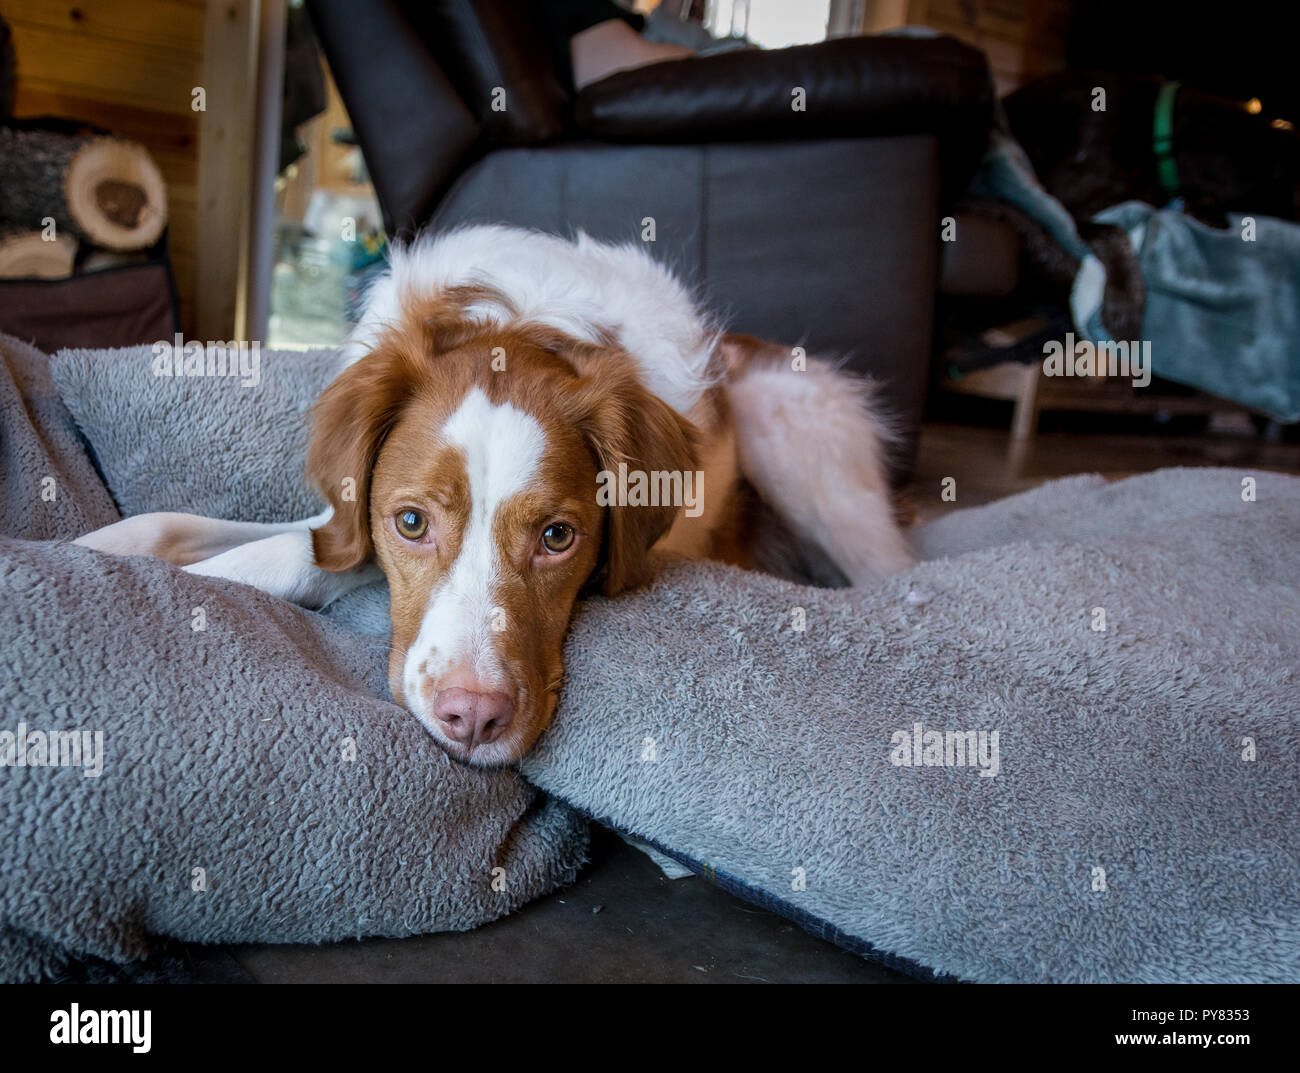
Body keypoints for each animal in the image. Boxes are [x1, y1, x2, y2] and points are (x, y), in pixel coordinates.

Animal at [78, 223, 915, 759]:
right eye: (411, 521)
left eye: (557, 537)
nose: (473, 718)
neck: (521, 325)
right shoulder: (345, 515)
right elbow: (192, 525)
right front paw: (88, 547)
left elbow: (288, 555)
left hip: (792, 432)